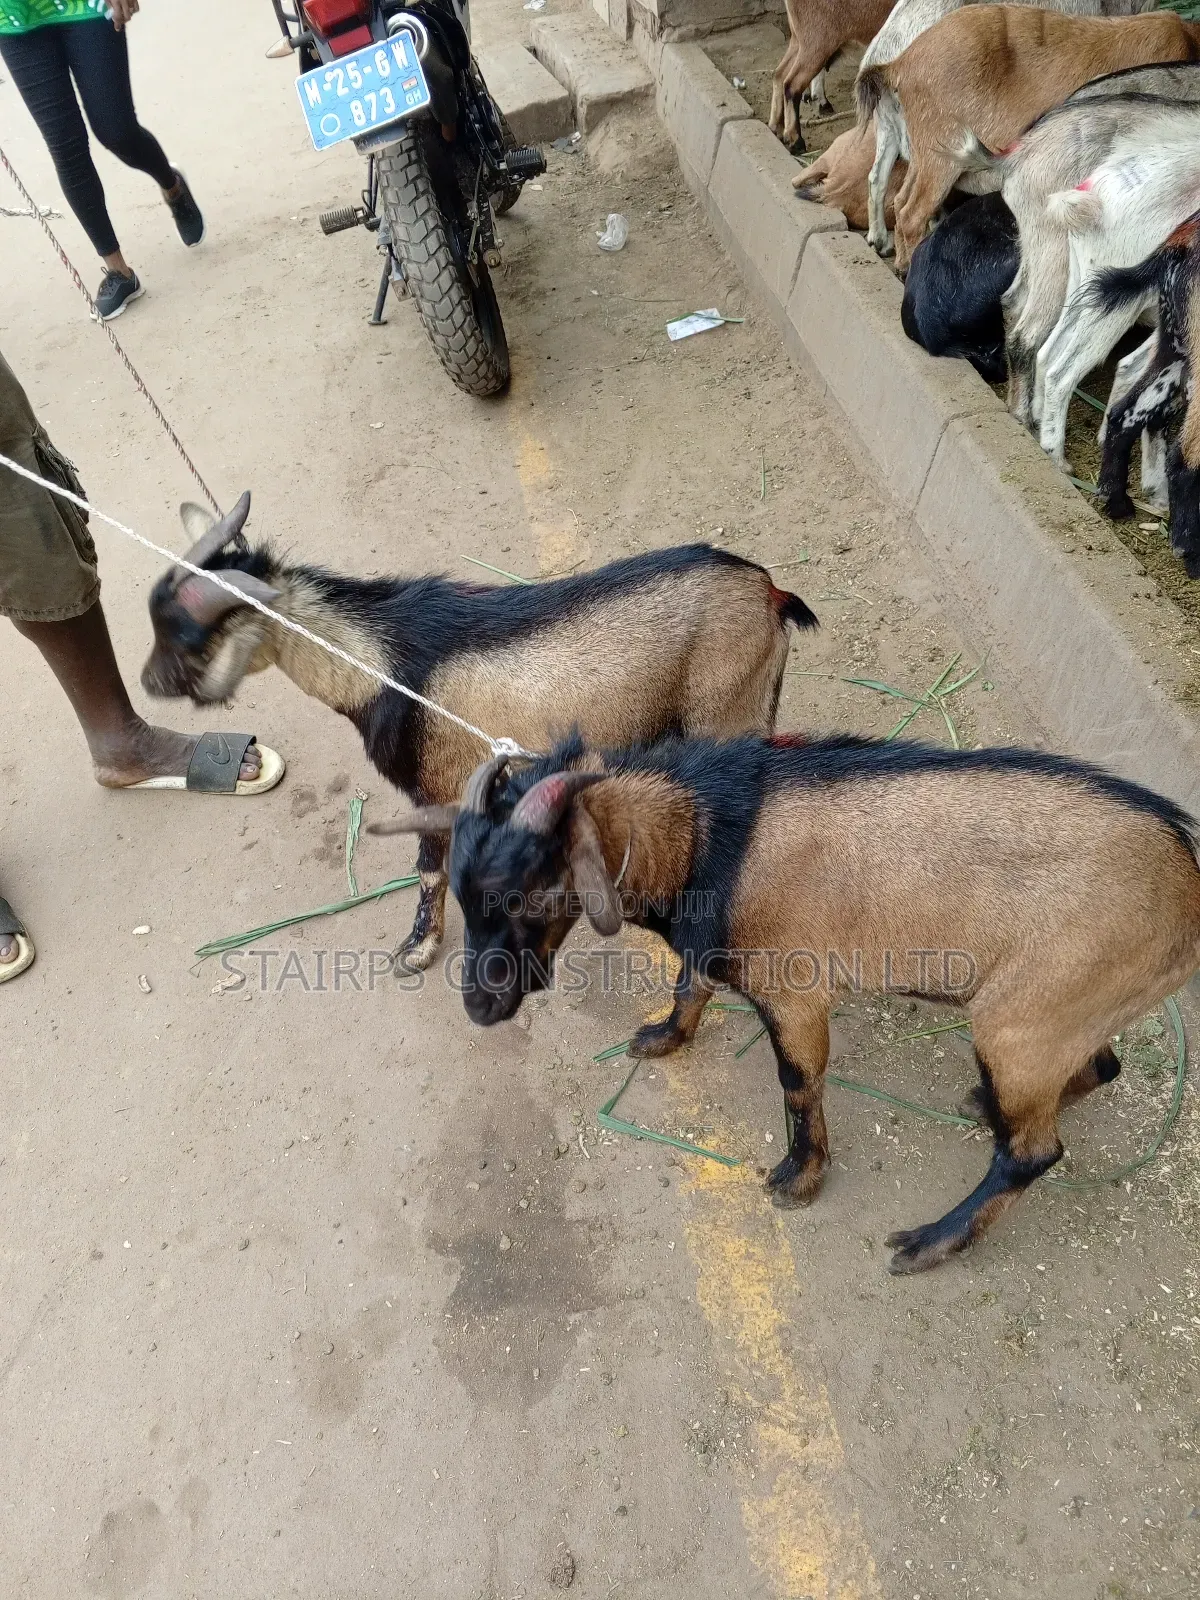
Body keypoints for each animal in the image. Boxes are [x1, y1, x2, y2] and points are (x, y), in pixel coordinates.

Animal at [139, 495, 819, 970]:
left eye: (188, 636)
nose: (147, 682)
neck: (383, 663)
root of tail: (769, 590)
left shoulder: (435, 784)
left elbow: (428, 868)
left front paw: (417, 950)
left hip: (727, 708)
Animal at [374, 732, 1200, 1274]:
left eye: (532, 892)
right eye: (464, 892)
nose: (480, 1007)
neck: (706, 834)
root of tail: (1187, 882)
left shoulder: (796, 990)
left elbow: (799, 1083)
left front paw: (798, 1180)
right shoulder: (715, 951)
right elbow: (690, 982)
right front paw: (662, 1038)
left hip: (1020, 1021)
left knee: (1034, 1152)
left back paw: (931, 1243)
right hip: (1065, 1009)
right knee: (1101, 1067)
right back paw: (985, 1105)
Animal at [769, 0, 894, 151]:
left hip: (798, 41)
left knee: (779, 75)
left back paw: (776, 128)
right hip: (816, 42)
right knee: (791, 84)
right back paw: (795, 141)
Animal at [953, 65, 1200, 426]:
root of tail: (1019, 155)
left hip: (1040, 248)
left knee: (1014, 303)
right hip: (1056, 252)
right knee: (1028, 337)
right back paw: (1026, 418)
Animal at [1091, 217, 1200, 573]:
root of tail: (1181, 240)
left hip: (1175, 345)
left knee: (1124, 413)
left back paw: (1115, 501)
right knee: (1183, 456)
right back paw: (1189, 554)